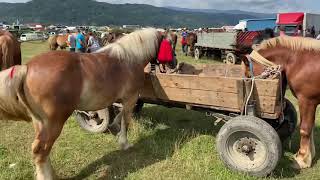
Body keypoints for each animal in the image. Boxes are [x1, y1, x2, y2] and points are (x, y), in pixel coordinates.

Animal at [0, 27, 161, 179]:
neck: (129, 59)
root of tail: (27, 68)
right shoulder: (130, 99)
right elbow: (125, 120)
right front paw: (125, 143)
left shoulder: (124, 100)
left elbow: (120, 115)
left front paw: (115, 125)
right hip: (54, 122)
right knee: (40, 149)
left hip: (39, 122)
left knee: (44, 151)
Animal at [241, 36, 320, 170]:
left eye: (248, 75)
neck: (301, 61)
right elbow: (310, 128)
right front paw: (309, 156)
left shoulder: (307, 101)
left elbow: (305, 129)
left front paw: (301, 159)